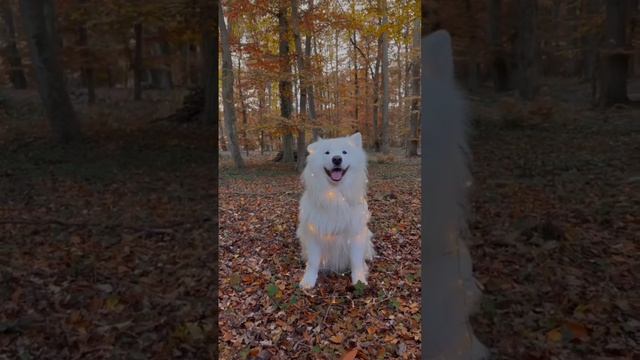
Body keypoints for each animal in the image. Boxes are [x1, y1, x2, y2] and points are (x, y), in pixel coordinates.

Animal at [296, 133, 376, 290]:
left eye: (345, 152)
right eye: (327, 153)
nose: (337, 159)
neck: (335, 196)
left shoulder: (355, 234)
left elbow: (356, 262)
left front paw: (359, 281)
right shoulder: (314, 233)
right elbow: (313, 262)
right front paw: (308, 280)